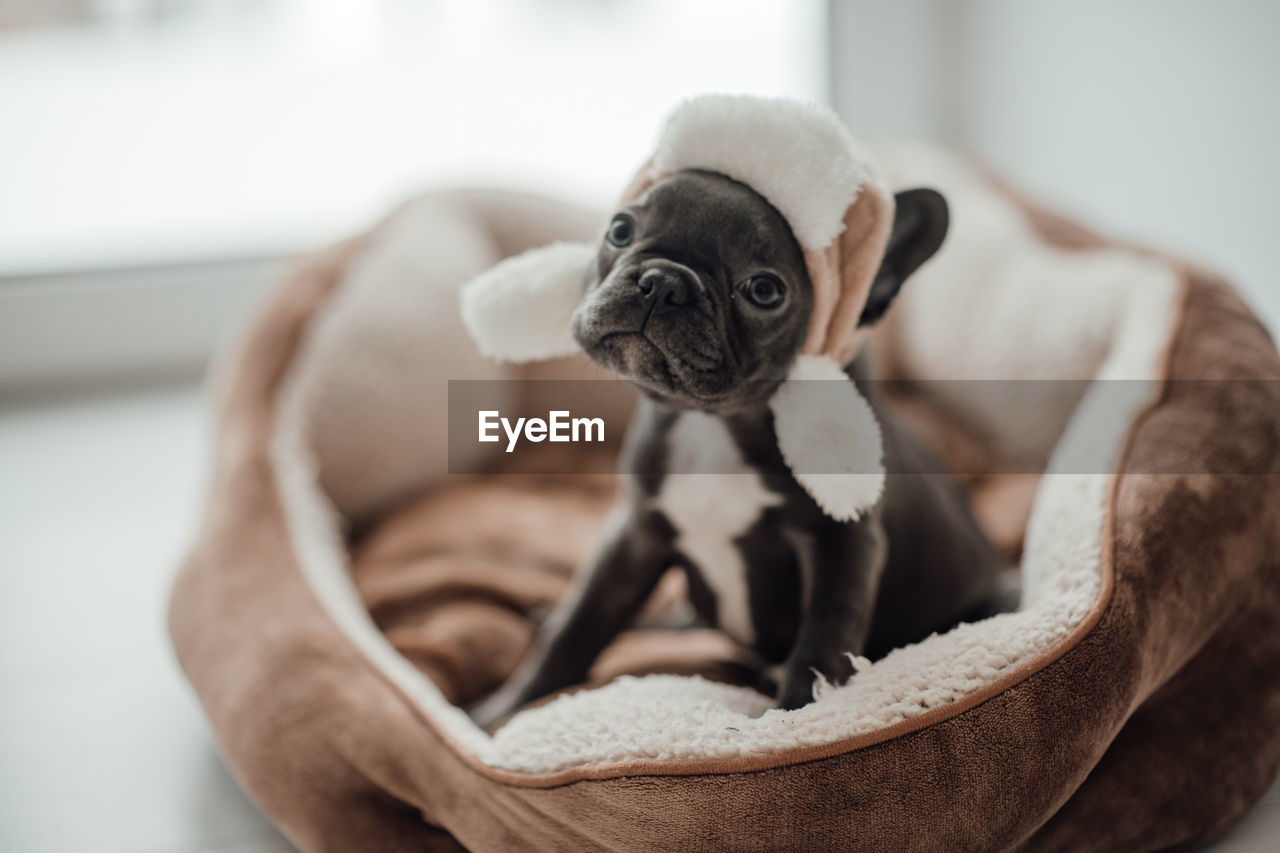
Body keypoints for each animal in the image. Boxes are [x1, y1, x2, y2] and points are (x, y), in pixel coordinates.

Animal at [471, 167, 1008, 722]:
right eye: (620, 229)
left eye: (765, 291)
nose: (664, 282)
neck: (712, 422)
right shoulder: (637, 533)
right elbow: (579, 626)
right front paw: (498, 713)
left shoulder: (843, 544)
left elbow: (821, 646)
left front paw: (796, 721)